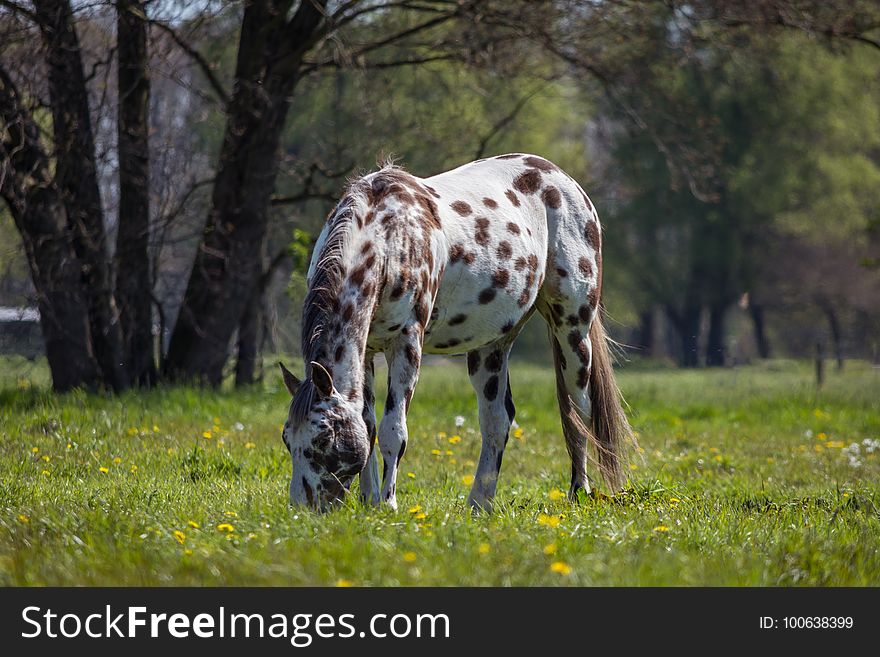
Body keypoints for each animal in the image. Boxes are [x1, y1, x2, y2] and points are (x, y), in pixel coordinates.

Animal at [278, 154, 628, 512]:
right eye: (287, 438)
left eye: (323, 438)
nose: (302, 509)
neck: (388, 237)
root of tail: (564, 180)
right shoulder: (367, 351)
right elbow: (368, 426)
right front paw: (369, 500)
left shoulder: (406, 344)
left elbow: (393, 431)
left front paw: (387, 504)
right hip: (492, 346)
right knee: (497, 421)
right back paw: (479, 504)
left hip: (572, 330)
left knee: (577, 412)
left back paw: (578, 492)